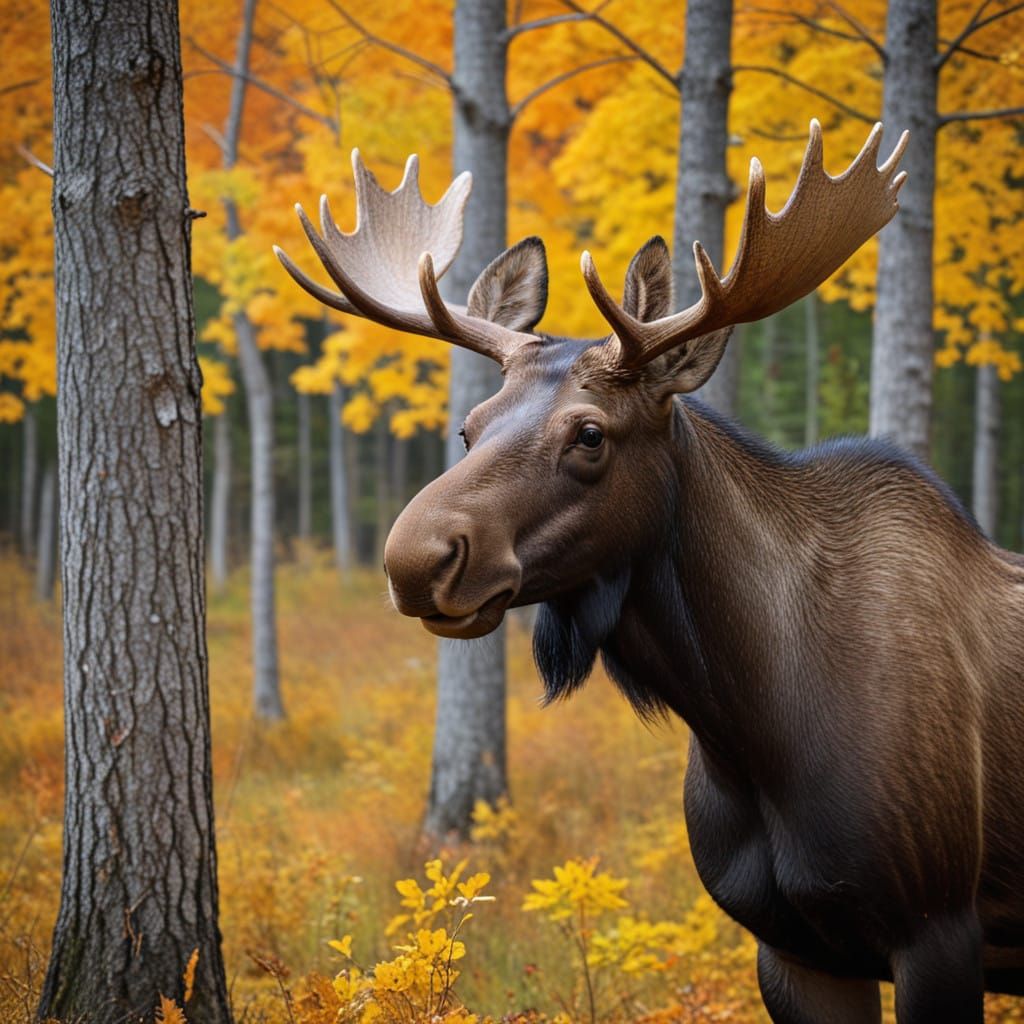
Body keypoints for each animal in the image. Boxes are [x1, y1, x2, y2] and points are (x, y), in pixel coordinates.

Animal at [276, 121, 1024, 1023]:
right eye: (468, 427)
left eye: (590, 433)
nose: (415, 558)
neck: (751, 725)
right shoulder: (795, 949)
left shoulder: (937, 926)